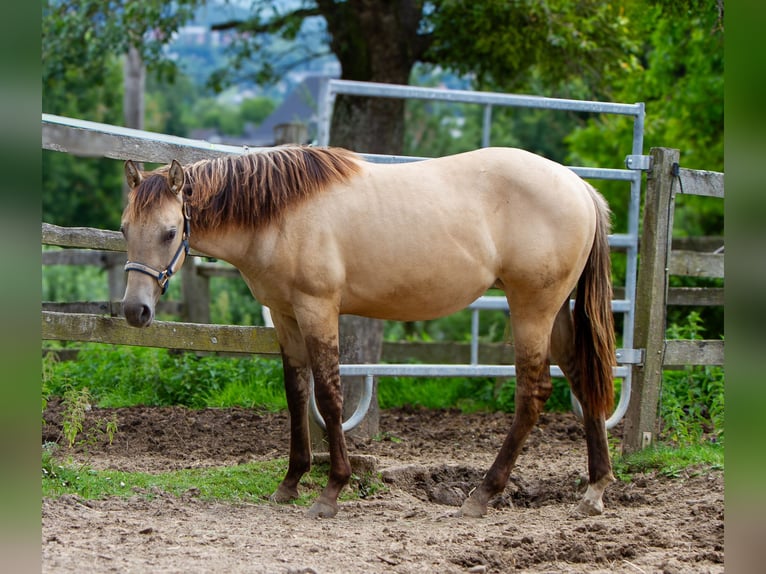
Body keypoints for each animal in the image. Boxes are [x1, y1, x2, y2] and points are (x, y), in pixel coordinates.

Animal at [118, 146, 616, 520]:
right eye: (124, 229)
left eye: (169, 232)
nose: (135, 310)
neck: (281, 214)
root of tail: (579, 186)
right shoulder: (285, 315)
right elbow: (296, 393)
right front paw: (290, 482)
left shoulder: (318, 309)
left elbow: (328, 396)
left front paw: (331, 491)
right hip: (555, 312)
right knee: (581, 376)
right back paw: (594, 489)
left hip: (532, 309)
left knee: (533, 392)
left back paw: (481, 495)